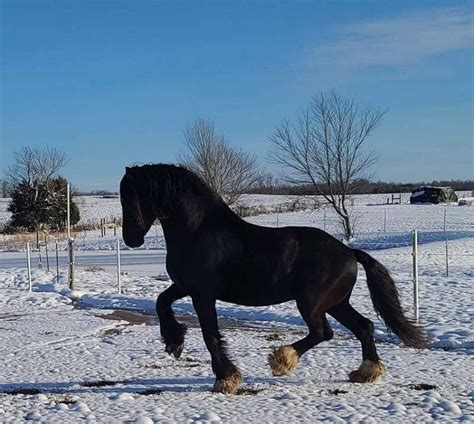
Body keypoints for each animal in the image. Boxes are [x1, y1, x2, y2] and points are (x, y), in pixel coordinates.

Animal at [119, 163, 430, 394]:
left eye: (130, 196)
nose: (131, 239)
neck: (198, 229)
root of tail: (349, 252)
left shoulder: (202, 294)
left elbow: (210, 335)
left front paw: (225, 378)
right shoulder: (186, 287)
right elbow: (161, 302)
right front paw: (174, 343)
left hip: (312, 302)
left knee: (323, 332)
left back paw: (282, 360)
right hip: (336, 302)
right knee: (364, 327)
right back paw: (365, 373)